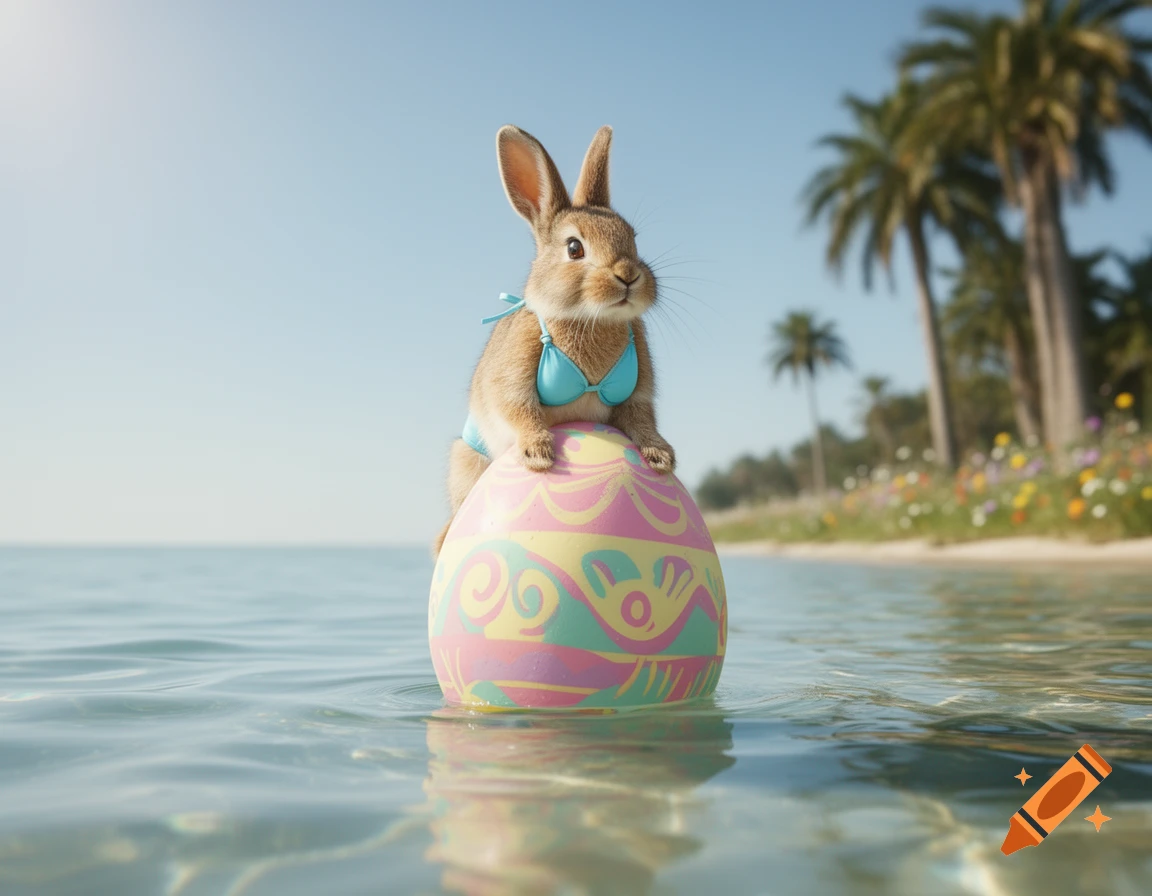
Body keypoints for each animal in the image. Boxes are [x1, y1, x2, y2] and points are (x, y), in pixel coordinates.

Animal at [434, 124, 675, 557]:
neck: (590, 317)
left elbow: (641, 418)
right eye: (574, 247)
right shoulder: (513, 375)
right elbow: (518, 406)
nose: (629, 275)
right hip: (466, 460)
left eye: (633, 237)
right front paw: (539, 453)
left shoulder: (639, 390)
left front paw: (660, 455)